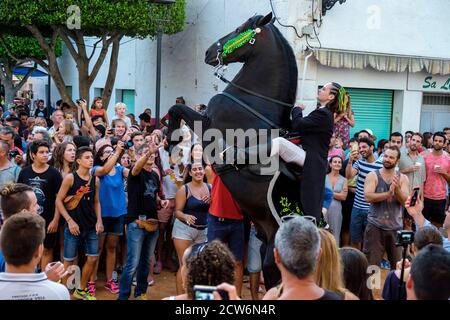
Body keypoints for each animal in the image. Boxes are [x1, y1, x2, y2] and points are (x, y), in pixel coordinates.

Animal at [165, 12, 298, 288]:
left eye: (238, 28)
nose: (208, 52)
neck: (253, 103)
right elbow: (176, 109)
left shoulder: (207, 125)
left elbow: (176, 109)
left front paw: (172, 144)